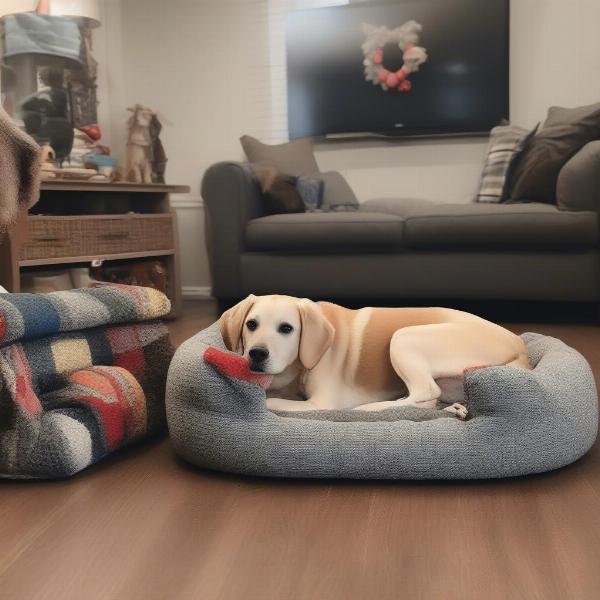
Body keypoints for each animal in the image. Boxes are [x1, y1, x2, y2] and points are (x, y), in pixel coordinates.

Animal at [220, 294, 528, 418]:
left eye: (287, 328)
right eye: (251, 324)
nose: (256, 354)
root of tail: (519, 345)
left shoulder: (320, 403)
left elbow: (272, 401)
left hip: (403, 338)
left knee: (426, 392)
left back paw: (372, 408)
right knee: (432, 400)